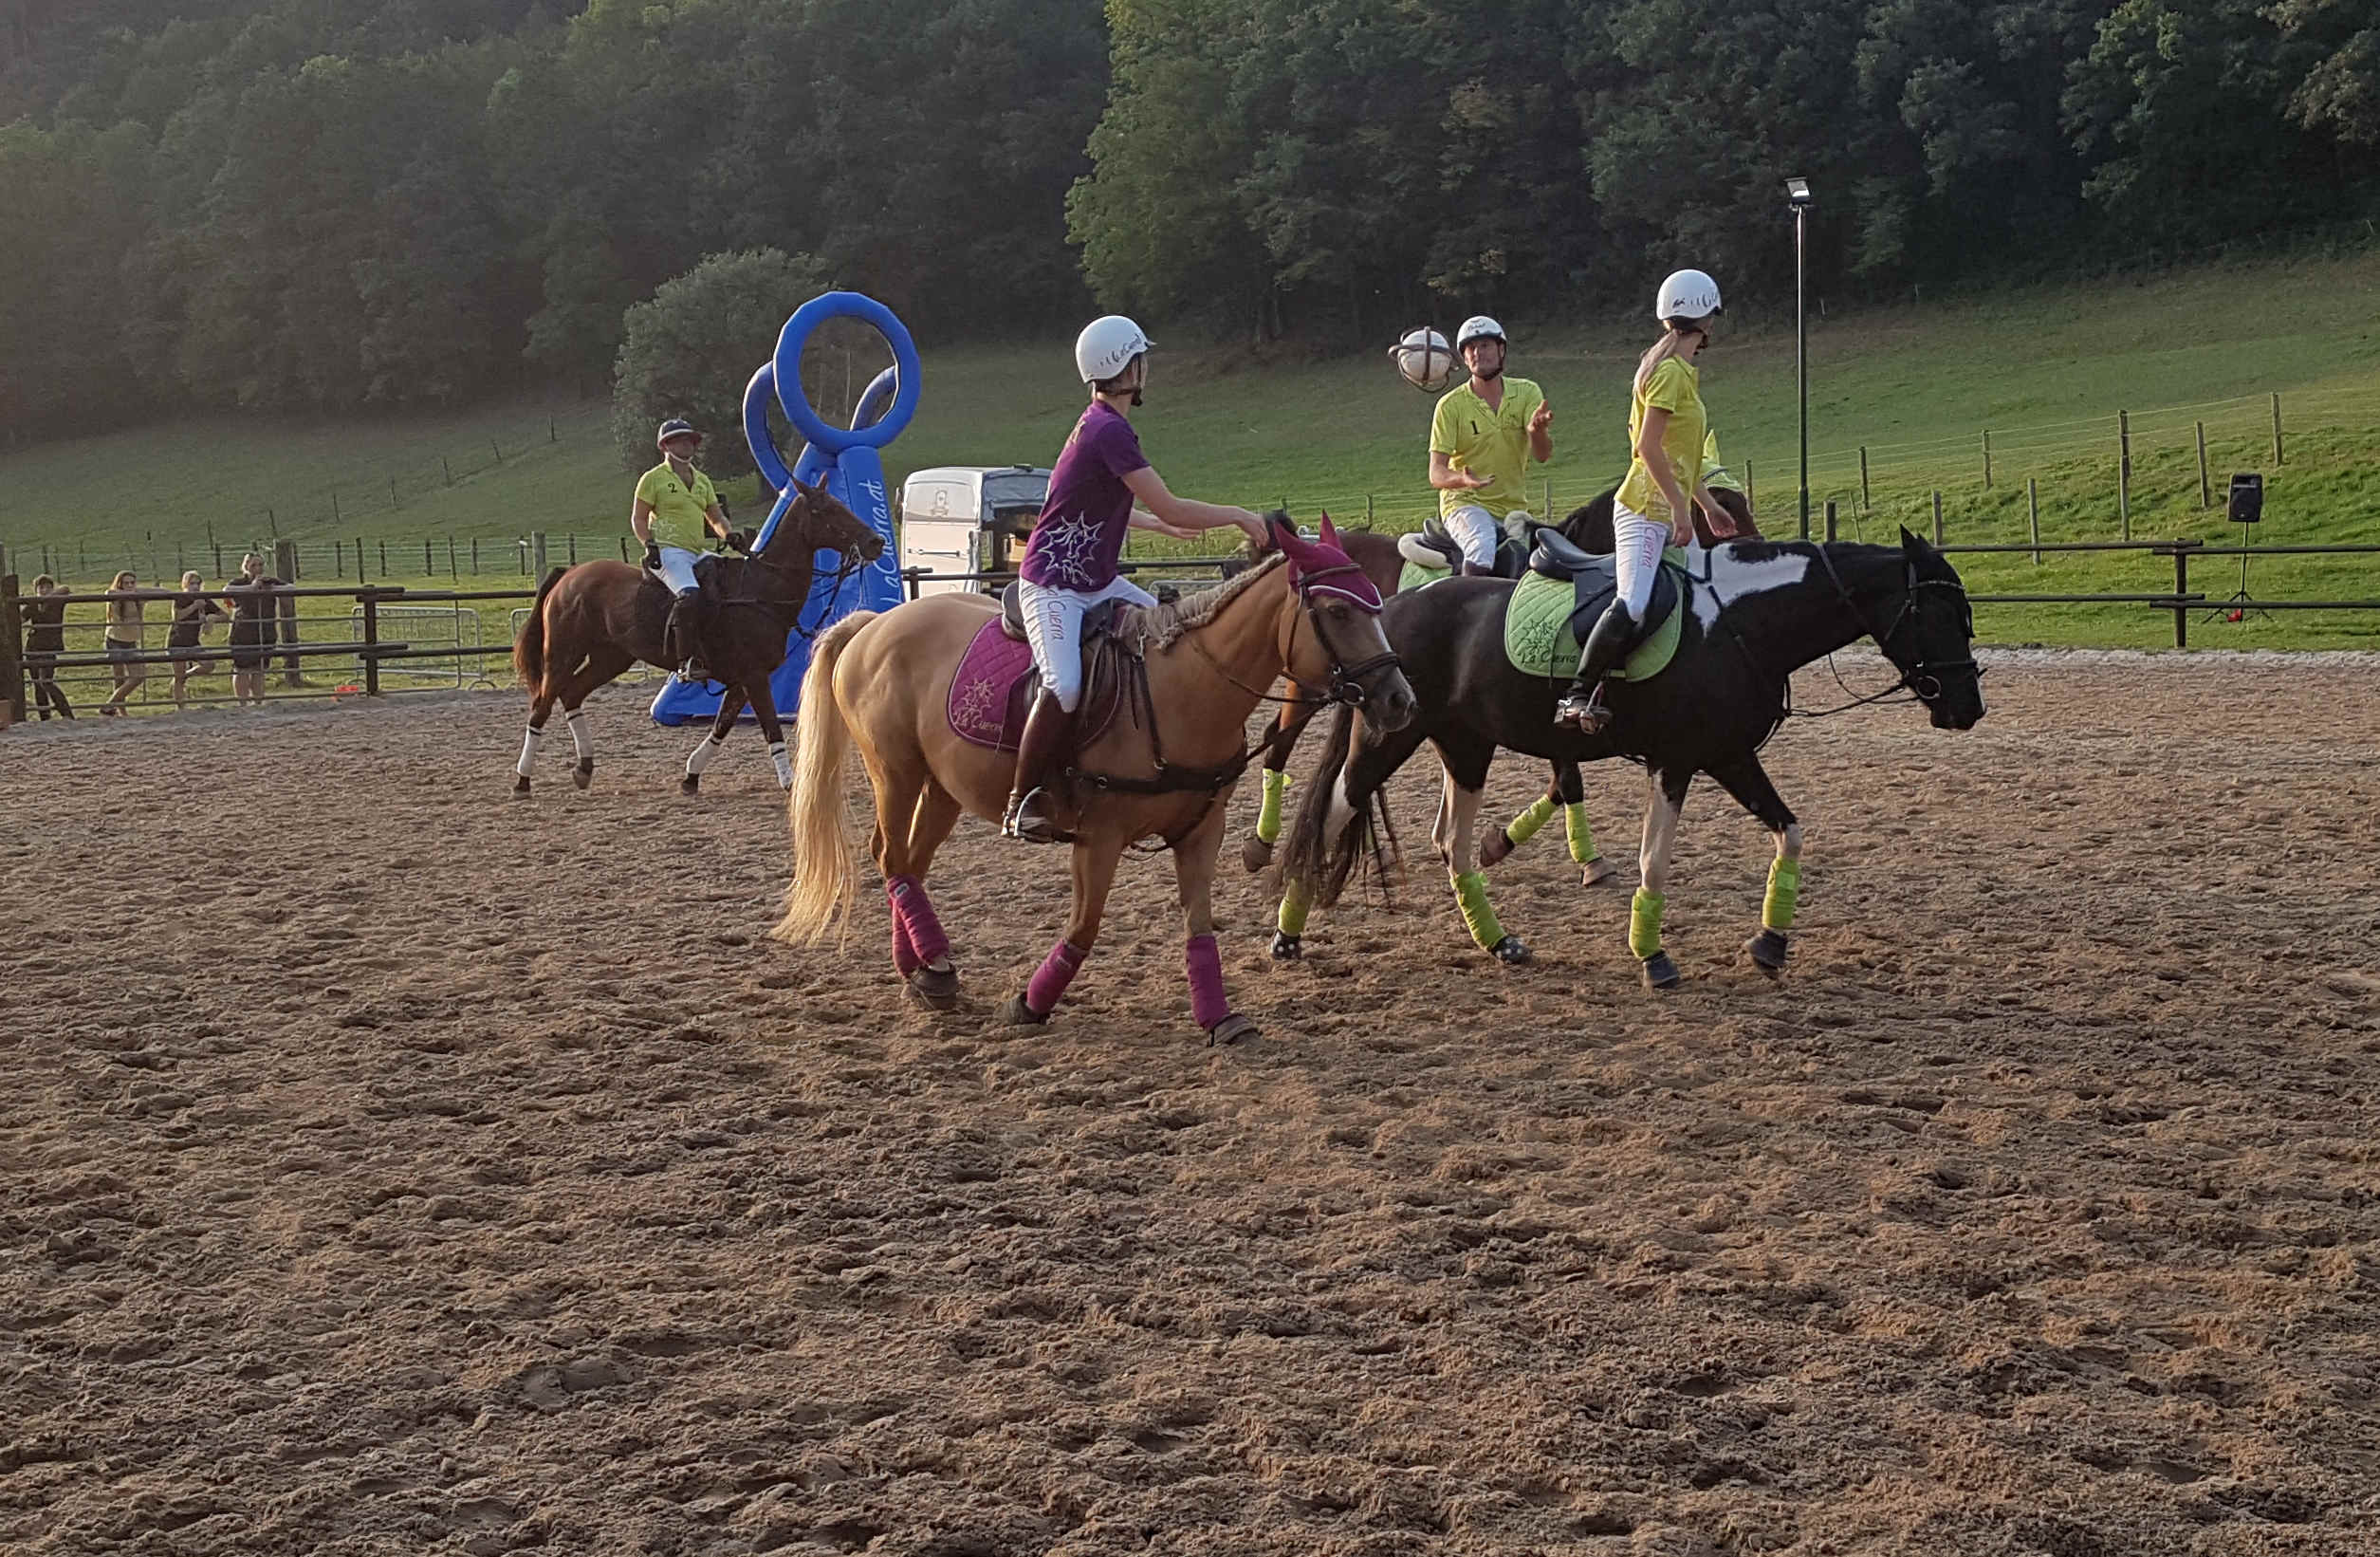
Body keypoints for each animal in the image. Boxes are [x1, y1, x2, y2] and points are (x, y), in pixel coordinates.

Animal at [510, 478, 884, 795]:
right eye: (827, 509)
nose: (875, 542)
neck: (761, 590)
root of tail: (568, 574)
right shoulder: (754, 675)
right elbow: (771, 728)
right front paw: (791, 783)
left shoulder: (741, 679)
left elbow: (722, 726)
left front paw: (691, 775)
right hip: (562, 653)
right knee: (542, 705)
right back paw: (522, 779)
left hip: (612, 657)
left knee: (572, 693)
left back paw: (584, 768)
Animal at [771, 514, 1414, 1045]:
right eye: (1338, 611)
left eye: (1378, 603)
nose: (1398, 699)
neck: (1184, 693)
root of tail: (871, 624)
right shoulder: (1099, 838)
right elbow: (1083, 928)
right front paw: (1030, 1005)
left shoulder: (1200, 832)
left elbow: (1198, 926)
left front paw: (1220, 1017)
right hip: (896, 771)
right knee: (891, 857)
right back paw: (933, 969)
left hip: (943, 786)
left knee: (908, 860)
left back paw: (923, 970)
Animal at [1277, 527, 1985, 984]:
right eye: (1939, 612)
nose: (1967, 708)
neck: (1737, 622)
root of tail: (1389, 613)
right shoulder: (1677, 760)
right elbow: (1654, 858)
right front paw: (1652, 955)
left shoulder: (1728, 755)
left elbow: (1790, 831)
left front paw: (1770, 940)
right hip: (1388, 736)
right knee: (1334, 813)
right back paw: (1287, 932)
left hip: (1466, 745)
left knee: (1450, 841)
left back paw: (1497, 940)